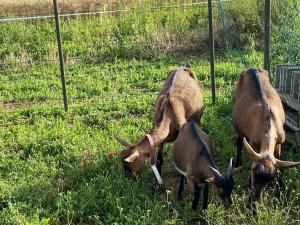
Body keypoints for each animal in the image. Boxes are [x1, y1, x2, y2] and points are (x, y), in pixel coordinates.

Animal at [232, 69, 300, 210]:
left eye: (270, 178)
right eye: (253, 172)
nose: (256, 197)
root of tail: (251, 69)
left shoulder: (279, 143)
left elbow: (279, 165)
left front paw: (281, 190)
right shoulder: (253, 145)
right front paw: (251, 208)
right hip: (239, 128)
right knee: (239, 142)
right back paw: (238, 164)